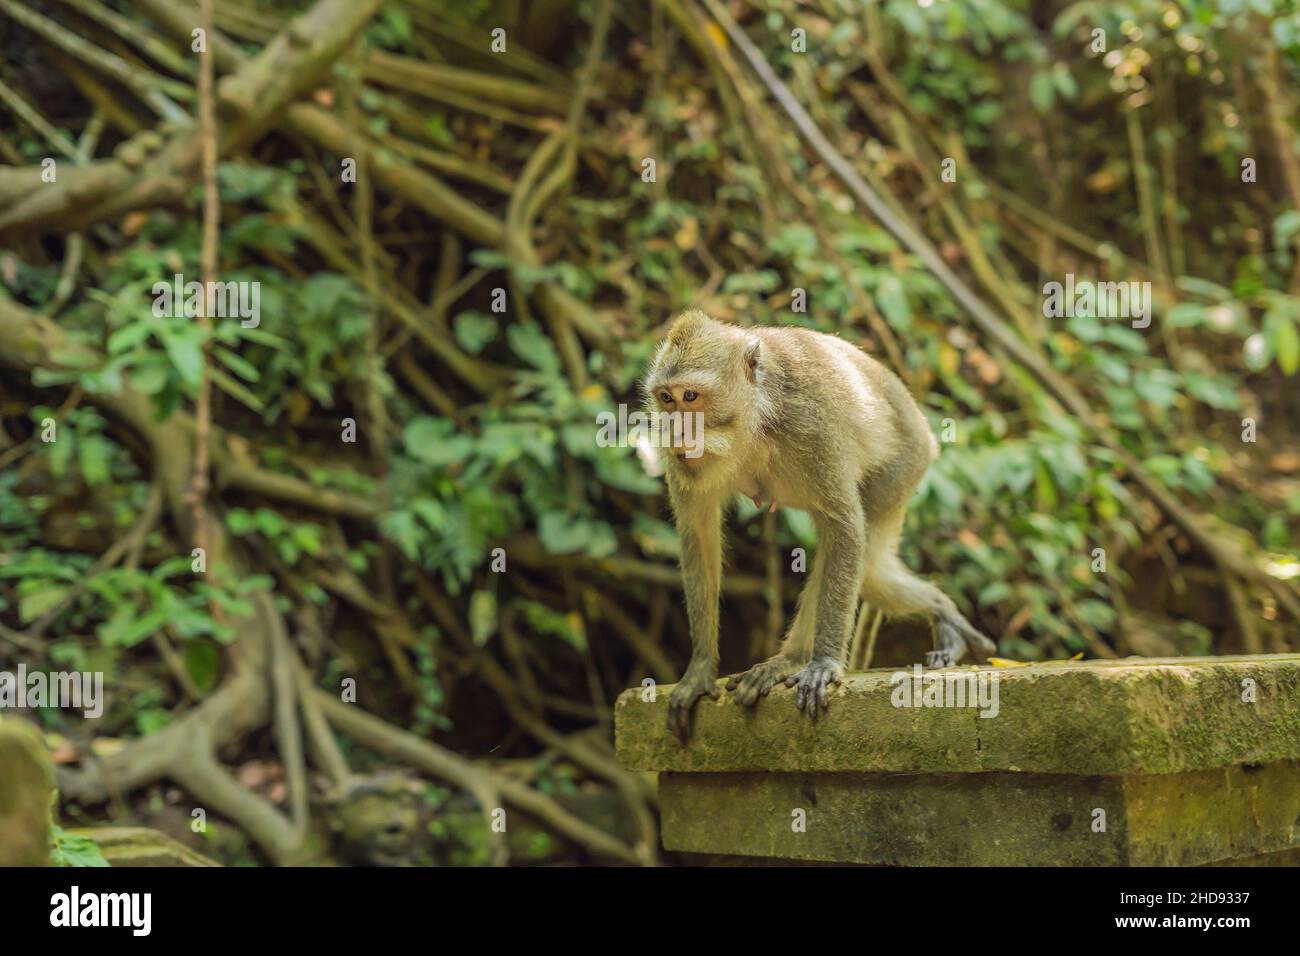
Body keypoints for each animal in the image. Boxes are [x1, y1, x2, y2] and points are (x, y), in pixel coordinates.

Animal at [642, 310, 993, 743]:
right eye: (666, 399)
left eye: (690, 397)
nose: (675, 431)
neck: (753, 419)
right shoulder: (686, 466)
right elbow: (699, 537)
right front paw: (700, 670)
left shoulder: (812, 424)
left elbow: (845, 528)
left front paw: (824, 662)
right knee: (868, 571)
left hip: (905, 464)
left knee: (865, 564)